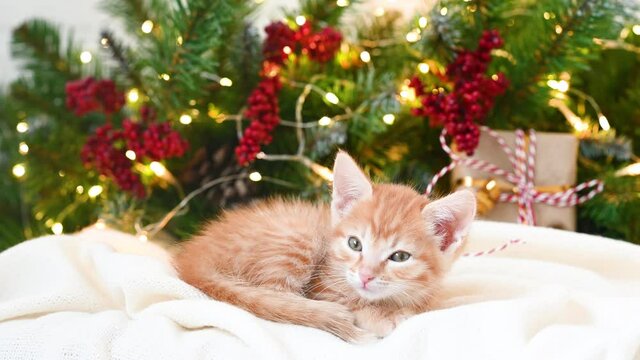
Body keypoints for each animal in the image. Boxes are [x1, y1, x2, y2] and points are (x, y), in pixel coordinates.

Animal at [174, 151, 476, 340]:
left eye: (400, 256)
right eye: (355, 244)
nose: (365, 276)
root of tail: (195, 256)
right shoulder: (324, 287)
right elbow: (346, 300)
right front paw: (381, 315)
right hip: (298, 235)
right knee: (276, 298)